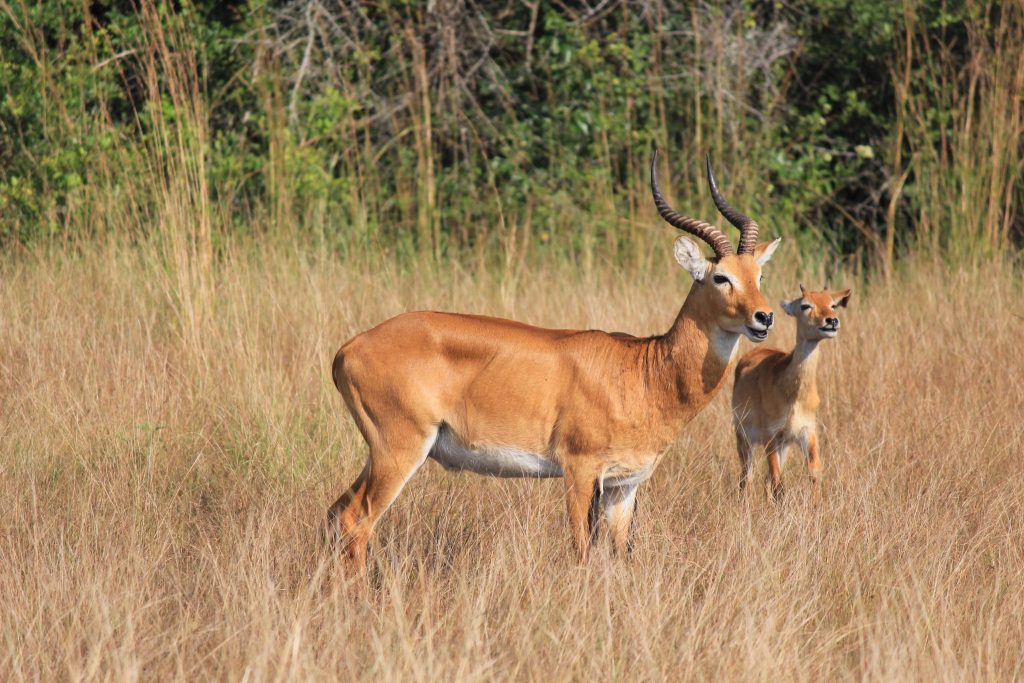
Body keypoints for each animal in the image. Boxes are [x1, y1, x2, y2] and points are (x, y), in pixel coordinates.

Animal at [327, 148, 782, 573]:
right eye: (720, 277)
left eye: (759, 276)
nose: (764, 317)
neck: (643, 372)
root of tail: (348, 349)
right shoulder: (580, 470)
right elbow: (582, 551)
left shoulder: (625, 485)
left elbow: (620, 554)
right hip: (400, 449)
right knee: (356, 522)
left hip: (380, 454)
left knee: (337, 513)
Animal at [733, 286, 851, 505]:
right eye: (805, 305)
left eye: (832, 304)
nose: (831, 321)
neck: (793, 396)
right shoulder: (770, 435)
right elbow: (778, 481)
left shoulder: (806, 431)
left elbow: (814, 472)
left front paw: (815, 506)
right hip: (744, 438)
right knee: (747, 478)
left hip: (784, 445)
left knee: (765, 481)